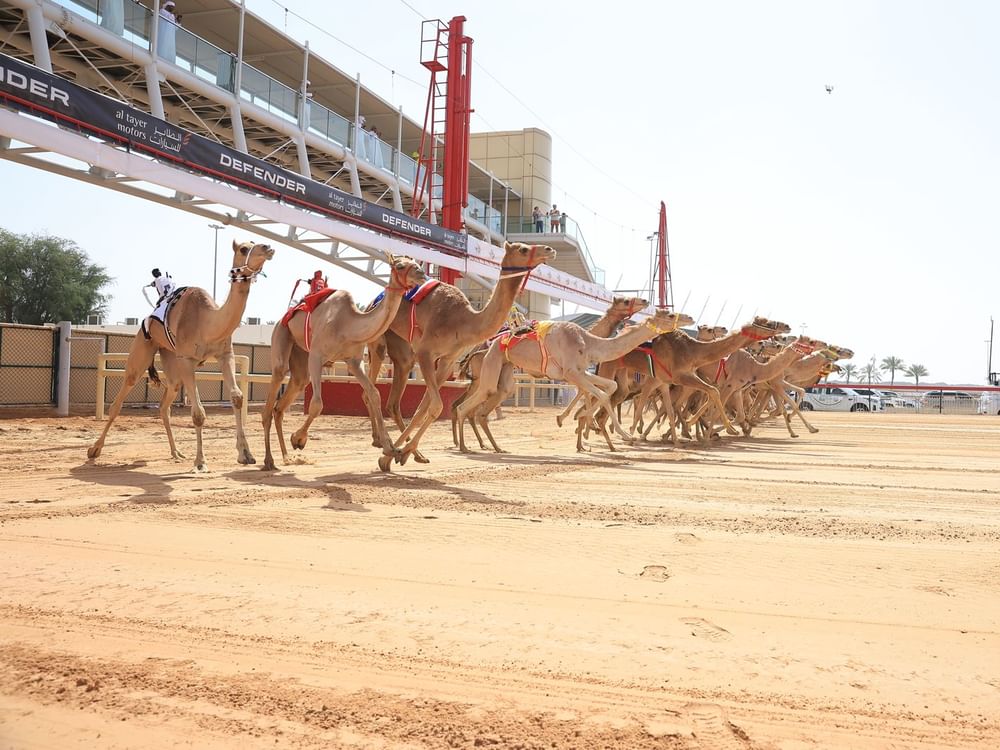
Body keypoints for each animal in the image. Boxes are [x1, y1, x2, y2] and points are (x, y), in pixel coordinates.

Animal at [88, 240, 275, 470]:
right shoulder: (187, 360)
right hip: (142, 349)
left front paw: (246, 454)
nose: (268, 247)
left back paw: (176, 452)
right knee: (118, 401)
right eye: (243, 248)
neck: (207, 322)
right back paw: (94, 450)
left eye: (255, 243)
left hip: (170, 360)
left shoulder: (225, 355)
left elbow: (237, 397)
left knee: (164, 406)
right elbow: (198, 413)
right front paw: (201, 462)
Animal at [260, 255, 427, 471]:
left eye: (416, 262)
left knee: (283, 403)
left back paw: (287, 457)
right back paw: (268, 460)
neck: (347, 325)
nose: (421, 274)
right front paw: (298, 439)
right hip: (282, 335)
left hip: (300, 357)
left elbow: (374, 393)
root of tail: (284, 317)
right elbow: (317, 404)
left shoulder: (354, 361)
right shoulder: (316, 355)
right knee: (272, 396)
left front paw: (390, 448)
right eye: (399, 265)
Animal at [367, 241, 557, 470]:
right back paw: (379, 441)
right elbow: (436, 405)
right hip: (377, 340)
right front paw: (395, 453)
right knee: (370, 389)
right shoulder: (426, 352)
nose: (549, 250)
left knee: (393, 400)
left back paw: (403, 450)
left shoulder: (447, 360)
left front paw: (400, 454)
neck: (463, 321)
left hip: (403, 352)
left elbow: (424, 407)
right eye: (523, 249)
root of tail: (373, 300)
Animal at [454, 308, 694, 454]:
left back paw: (494, 447)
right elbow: (601, 393)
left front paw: (581, 421)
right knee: (466, 405)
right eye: (670, 314)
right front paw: (623, 434)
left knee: (486, 405)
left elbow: (610, 387)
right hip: (492, 363)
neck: (588, 341)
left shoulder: (580, 371)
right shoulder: (571, 372)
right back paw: (465, 447)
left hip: (505, 371)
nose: (690, 318)